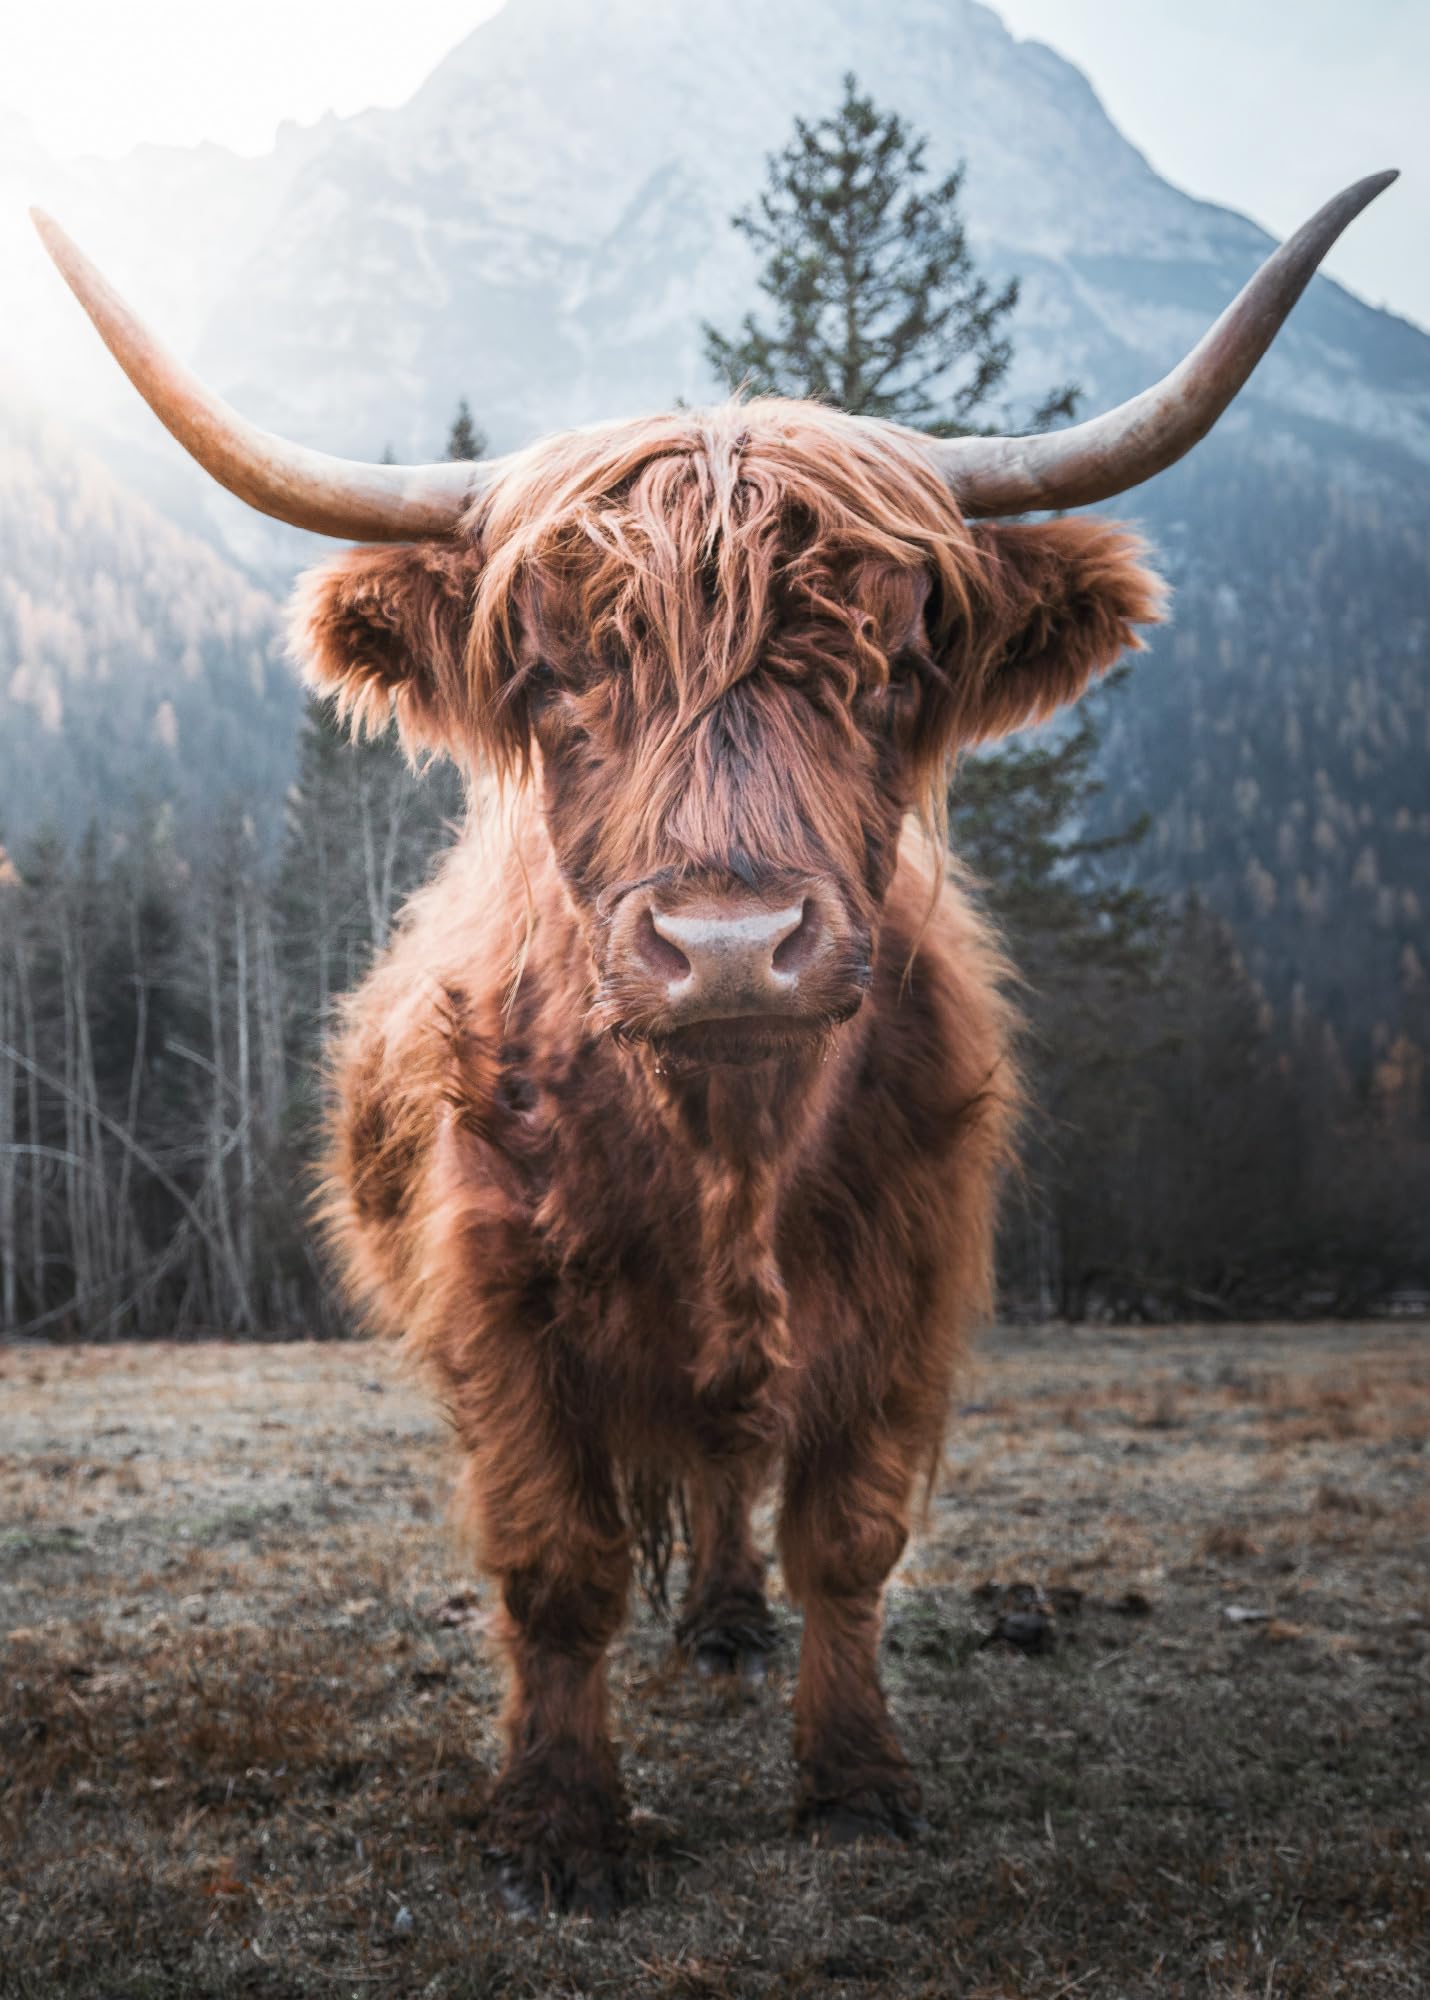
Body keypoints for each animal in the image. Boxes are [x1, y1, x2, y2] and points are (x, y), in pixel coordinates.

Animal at [33, 170, 1394, 1915]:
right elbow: (555, 1564)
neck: (726, 1149)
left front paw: (857, 1782)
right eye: (552, 672)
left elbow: (847, 1539)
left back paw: (733, 1624)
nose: (731, 947)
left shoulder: (903, 1286)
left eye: (892, 664)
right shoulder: (499, 1301)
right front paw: (558, 1825)